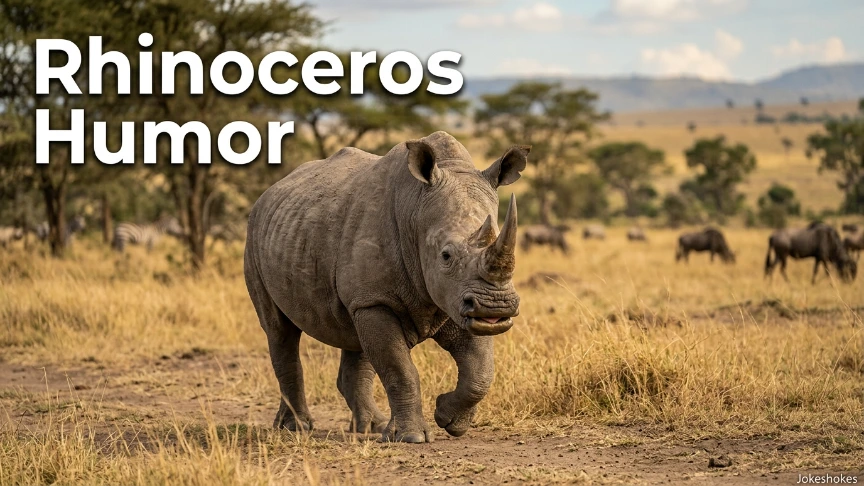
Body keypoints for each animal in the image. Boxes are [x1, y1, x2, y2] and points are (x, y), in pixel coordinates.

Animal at [245, 131, 529, 443]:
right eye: (445, 256)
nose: (496, 306)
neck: (416, 209)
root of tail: (268, 193)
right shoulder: (378, 299)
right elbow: (399, 369)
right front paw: (412, 437)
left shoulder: (457, 301)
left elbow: (480, 371)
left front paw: (449, 419)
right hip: (255, 236)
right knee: (279, 330)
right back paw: (295, 428)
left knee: (355, 337)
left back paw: (370, 427)